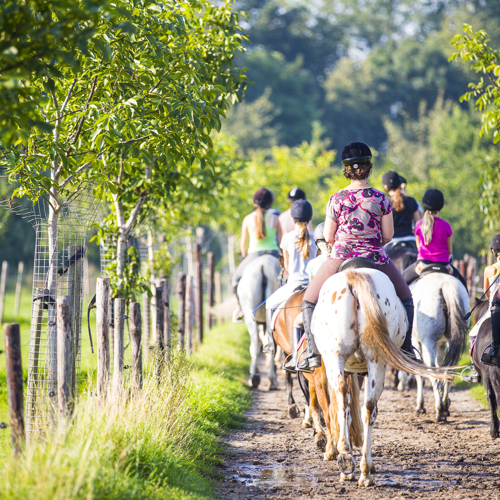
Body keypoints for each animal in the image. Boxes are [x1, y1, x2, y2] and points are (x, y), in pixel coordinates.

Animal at [312, 268, 450, 486]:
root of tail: (353, 277)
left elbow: (338, 411)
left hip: (340, 358)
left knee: (345, 400)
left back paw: (350, 461)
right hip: (374, 360)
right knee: (367, 407)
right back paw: (363, 470)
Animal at [408, 274, 470, 422]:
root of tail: (444, 283)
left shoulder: (417, 342)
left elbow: (420, 373)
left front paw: (420, 406)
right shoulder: (442, 344)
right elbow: (441, 367)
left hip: (427, 341)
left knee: (430, 370)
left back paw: (440, 410)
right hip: (451, 340)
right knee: (449, 369)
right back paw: (445, 405)